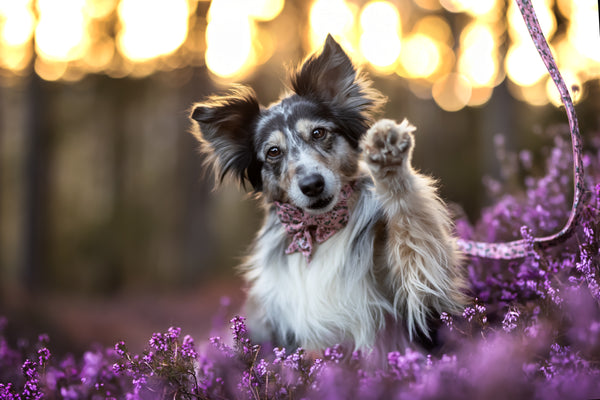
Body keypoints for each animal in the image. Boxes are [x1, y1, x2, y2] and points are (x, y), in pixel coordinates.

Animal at [192, 34, 468, 354]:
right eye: (273, 152)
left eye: (319, 133)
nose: (312, 184)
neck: (320, 232)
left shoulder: (420, 295)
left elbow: (411, 222)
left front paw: (388, 160)